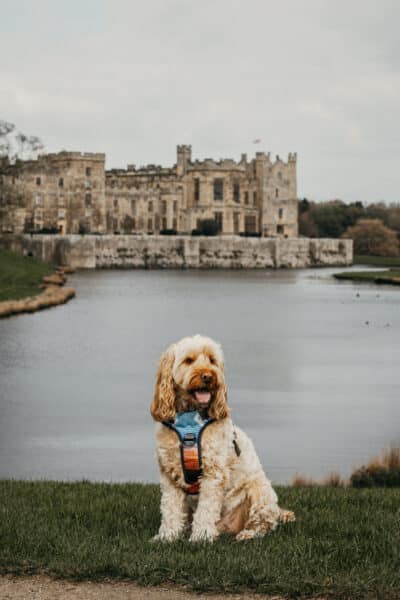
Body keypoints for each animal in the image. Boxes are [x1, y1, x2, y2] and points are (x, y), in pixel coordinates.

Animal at [150, 336, 294, 540]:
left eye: (212, 360)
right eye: (188, 360)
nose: (208, 376)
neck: (190, 422)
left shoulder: (213, 473)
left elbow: (206, 509)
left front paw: (201, 537)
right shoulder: (170, 475)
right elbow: (171, 509)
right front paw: (167, 536)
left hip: (260, 491)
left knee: (264, 523)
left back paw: (247, 533)